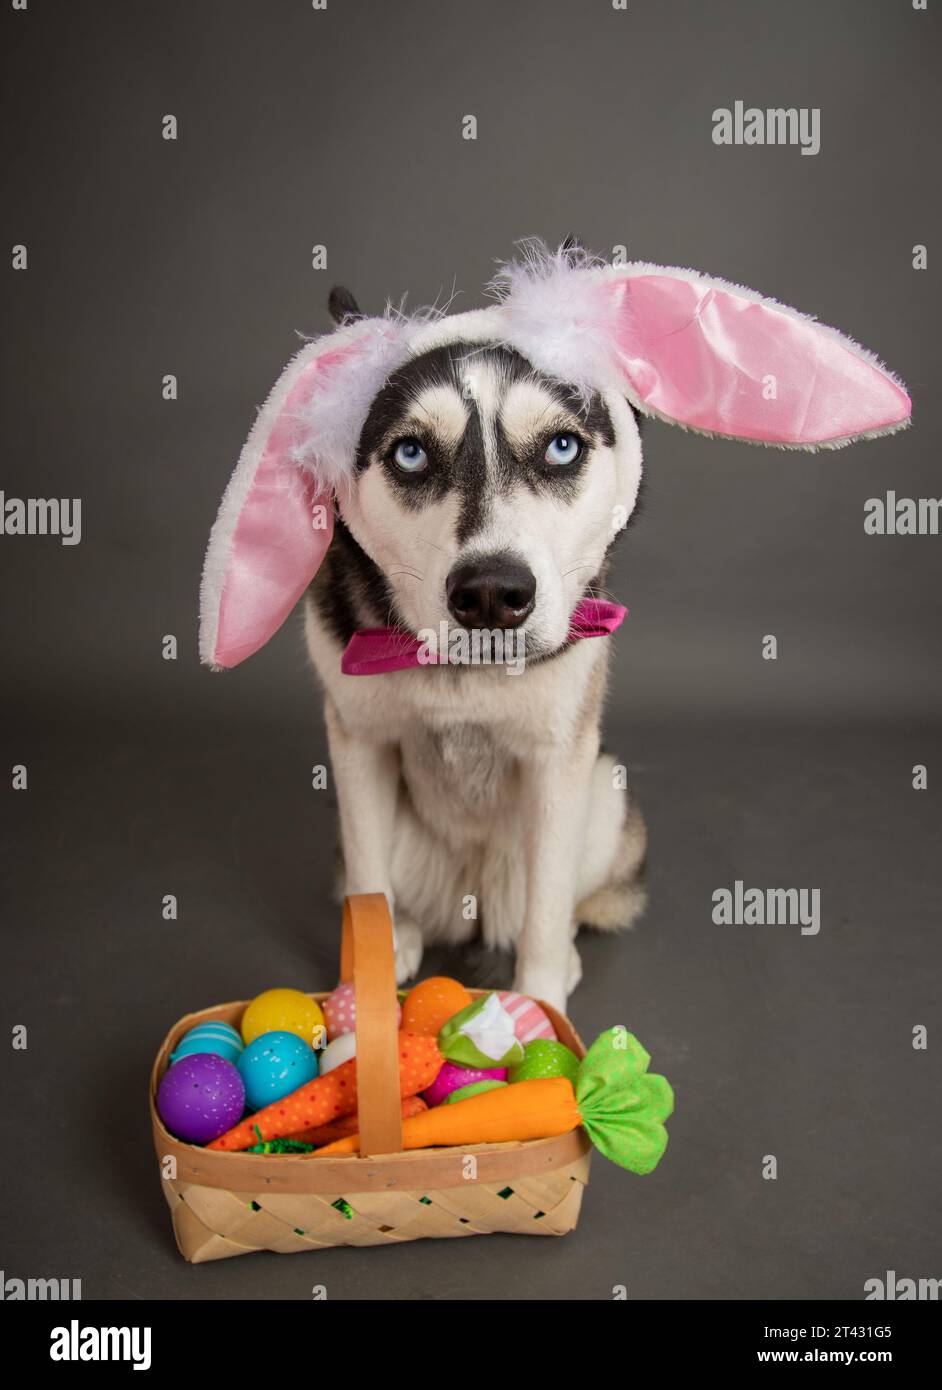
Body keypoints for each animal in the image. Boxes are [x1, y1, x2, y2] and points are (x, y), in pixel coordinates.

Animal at [201, 236, 916, 1000]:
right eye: (411, 452)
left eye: (561, 446)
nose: (491, 594)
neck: (465, 680)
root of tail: (470, 899)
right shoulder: (359, 745)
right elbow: (369, 881)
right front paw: (362, 990)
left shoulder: (556, 762)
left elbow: (546, 907)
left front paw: (540, 1003)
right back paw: (403, 939)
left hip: (604, 795)